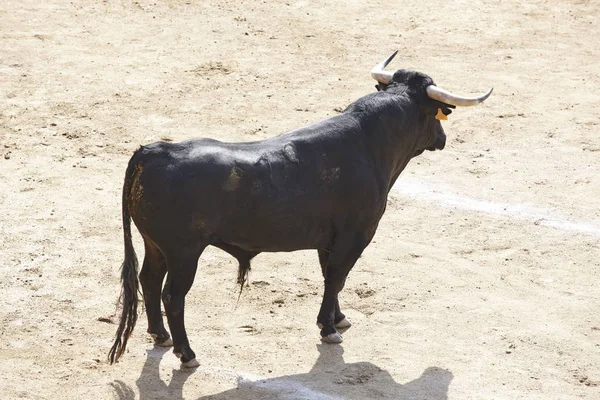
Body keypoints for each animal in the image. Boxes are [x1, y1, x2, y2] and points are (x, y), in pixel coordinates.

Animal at [106, 68, 474, 366]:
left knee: (149, 280)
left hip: (155, 245)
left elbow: (331, 277)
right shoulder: (356, 234)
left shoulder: (328, 239)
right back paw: (186, 353)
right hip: (183, 253)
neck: (370, 144)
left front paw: (338, 318)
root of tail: (153, 152)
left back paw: (160, 335)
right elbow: (336, 277)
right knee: (173, 295)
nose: (443, 139)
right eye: (436, 114)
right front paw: (328, 328)